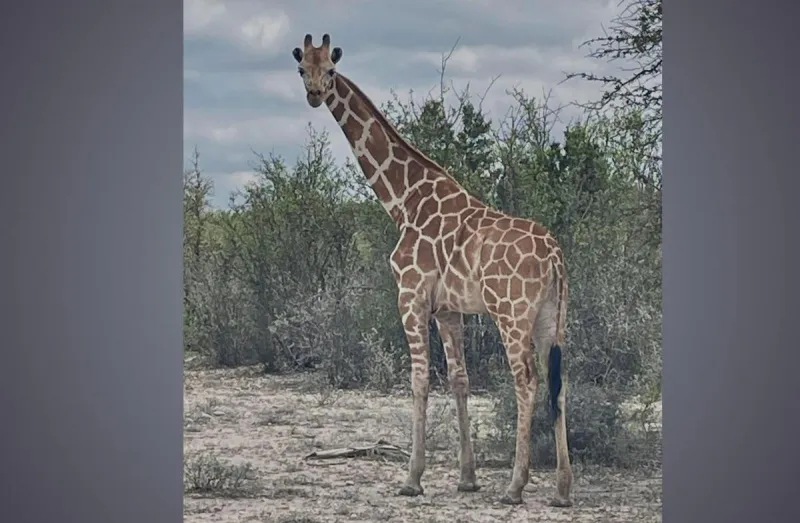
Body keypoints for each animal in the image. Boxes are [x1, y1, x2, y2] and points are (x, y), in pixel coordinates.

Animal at [292, 33, 573, 508]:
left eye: (330, 69)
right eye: (301, 69)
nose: (314, 94)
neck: (403, 200)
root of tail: (554, 255)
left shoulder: (410, 295)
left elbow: (420, 379)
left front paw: (412, 478)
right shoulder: (448, 308)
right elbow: (459, 380)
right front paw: (467, 477)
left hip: (511, 313)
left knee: (527, 380)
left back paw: (515, 486)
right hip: (552, 317)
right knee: (559, 381)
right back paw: (562, 489)